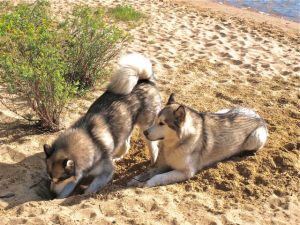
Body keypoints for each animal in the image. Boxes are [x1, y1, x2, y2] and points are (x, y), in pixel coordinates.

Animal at [43, 53, 162, 198]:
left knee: (153, 146)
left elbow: (91, 188)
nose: (51, 194)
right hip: (126, 124)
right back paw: (117, 156)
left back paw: (153, 161)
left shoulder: (106, 171)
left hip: (146, 129)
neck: (91, 140)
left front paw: (84, 192)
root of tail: (144, 80)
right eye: (50, 178)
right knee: (126, 143)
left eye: (59, 179)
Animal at [127, 92, 268, 187]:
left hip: (256, 138)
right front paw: (135, 179)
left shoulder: (186, 172)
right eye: (156, 120)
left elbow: (159, 177)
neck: (176, 144)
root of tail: (258, 115)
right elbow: (148, 172)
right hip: (221, 111)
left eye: (162, 123)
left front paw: (146, 183)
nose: (145, 132)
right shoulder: (161, 164)